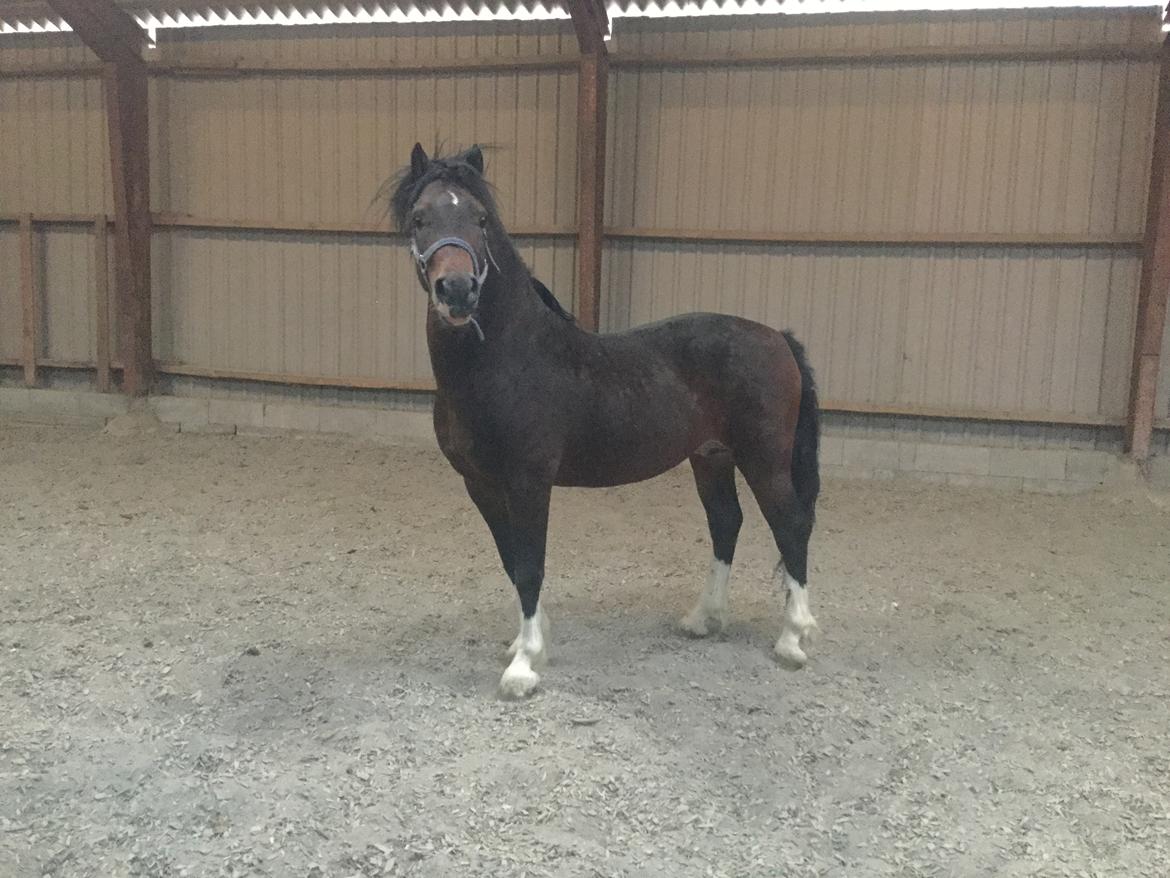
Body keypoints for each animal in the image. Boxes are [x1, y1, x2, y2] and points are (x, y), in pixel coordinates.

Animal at [388, 144, 819, 702]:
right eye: (420, 219)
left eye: (481, 219)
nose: (457, 291)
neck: (508, 361)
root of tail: (777, 338)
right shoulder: (480, 485)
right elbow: (511, 561)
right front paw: (527, 642)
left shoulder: (529, 481)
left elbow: (530, 565)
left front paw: (524, 667)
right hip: (711, 458)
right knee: (727, 522)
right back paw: (704, 618)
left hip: (764, 459)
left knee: (791, 525)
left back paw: (792, 639)